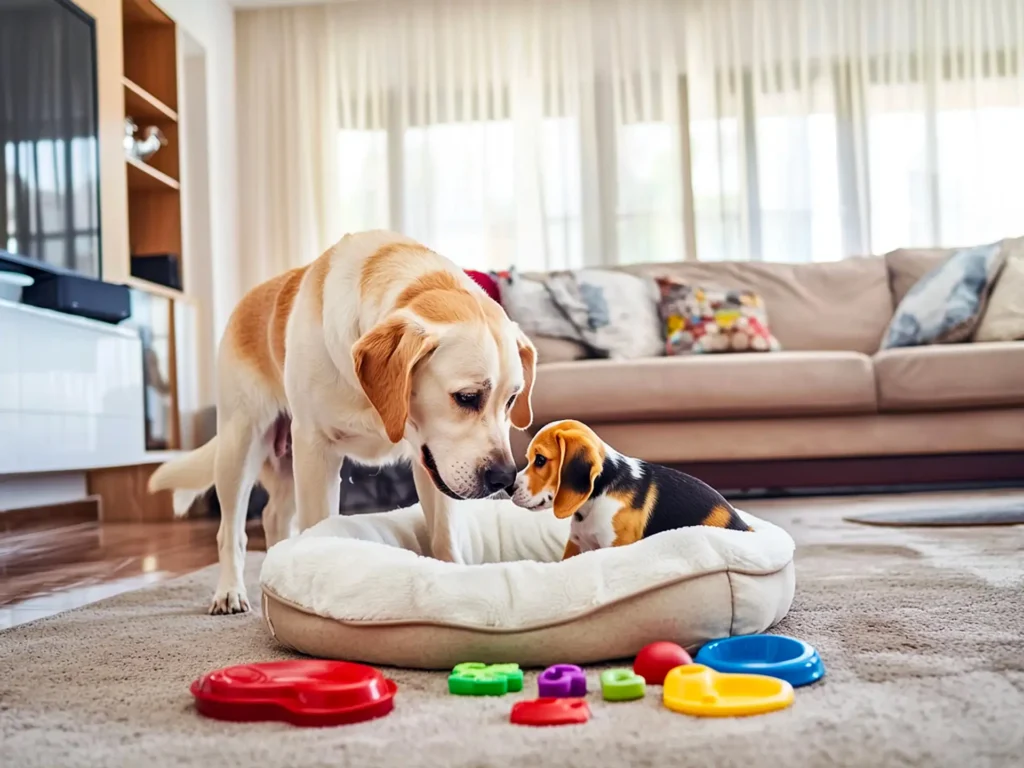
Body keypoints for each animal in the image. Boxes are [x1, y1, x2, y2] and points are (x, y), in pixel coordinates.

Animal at [153, 231, 536, 618]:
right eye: (467, 397)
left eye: (512, 400)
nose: (504, 477)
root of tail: (248, 298)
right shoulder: (315, 449)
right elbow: (318, 527)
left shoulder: (433, 466)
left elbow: (444, 535)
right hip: (240, 444)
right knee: (230, 531)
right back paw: (230, 590)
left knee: (273, 516)